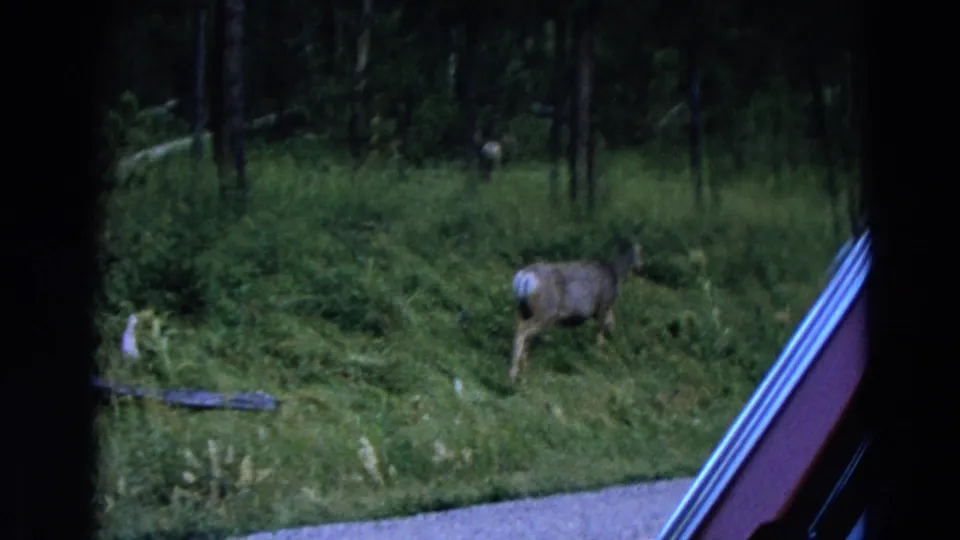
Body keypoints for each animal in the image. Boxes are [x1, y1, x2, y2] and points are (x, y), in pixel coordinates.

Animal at [509, 239, 645, 383]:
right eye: (641, 253)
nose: (641, 266)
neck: (616, 275)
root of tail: (524, 278)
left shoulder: (606, 309)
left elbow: (609, 326)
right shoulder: (604, 305)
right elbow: (600, 333)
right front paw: (600, 356)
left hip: (523, 310)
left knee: (523, 333)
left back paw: (524, 369)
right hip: (546, 312)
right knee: (523, 332)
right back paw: (514, 374)